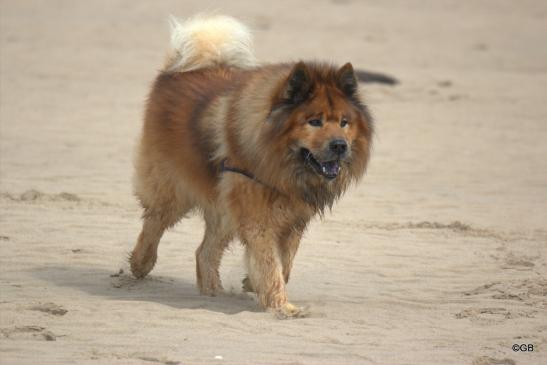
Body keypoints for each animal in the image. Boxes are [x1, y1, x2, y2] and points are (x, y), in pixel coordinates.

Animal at [131, 14, 374, 316]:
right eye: (314, 121)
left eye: (344, 122)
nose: (340, 145)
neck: (279, 164)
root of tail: (174, 72)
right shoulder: (257, 218)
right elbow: (271, 264)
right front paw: (282, 306)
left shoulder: (293, 219)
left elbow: (286, 262)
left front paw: (252, 283)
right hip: (173, 191)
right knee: (154, 222)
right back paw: (140, 263)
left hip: (224, 208)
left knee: (204, 252)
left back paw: (213, 293)